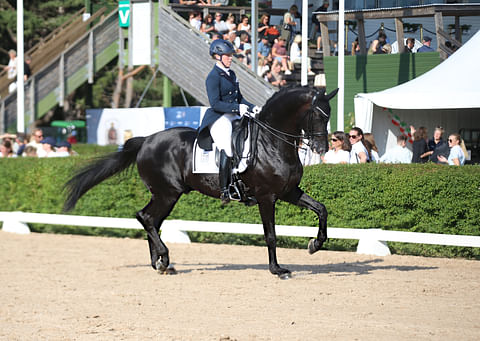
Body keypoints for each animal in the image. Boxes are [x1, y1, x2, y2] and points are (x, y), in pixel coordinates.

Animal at [65, 85, 340, 278]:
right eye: (317, 115)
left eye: (328, 115)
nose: (322, 149)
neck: (271, 142)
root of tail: (146, 140)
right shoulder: (266, 197)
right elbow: (270, 234)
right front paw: (277, 269)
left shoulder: (288, 192)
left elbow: (322, 209)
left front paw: (315, 244)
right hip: (167, 193)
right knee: (146, 218)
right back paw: (164, 258)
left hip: (165, 195)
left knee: (151, 220)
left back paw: (160, 263)